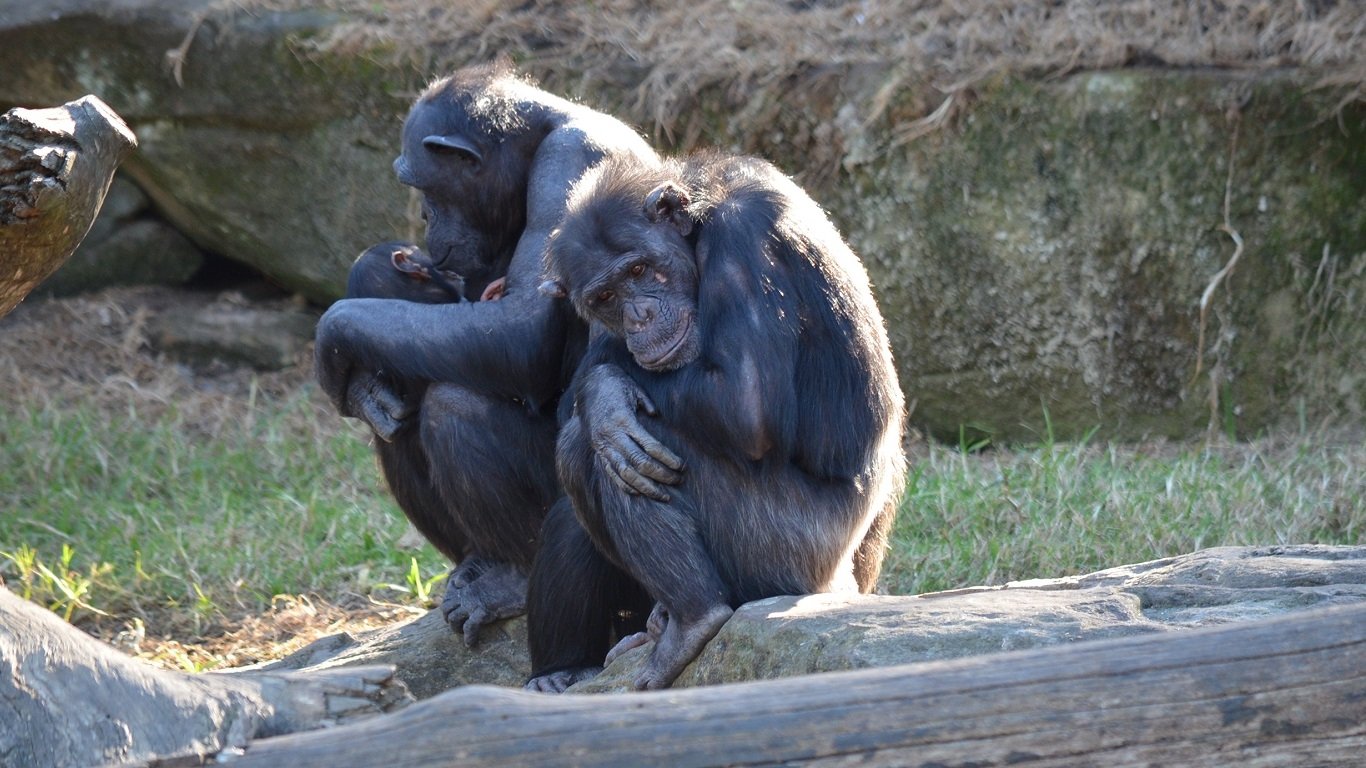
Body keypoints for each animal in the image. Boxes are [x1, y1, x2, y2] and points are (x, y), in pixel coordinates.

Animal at [315, 62, 666, 642]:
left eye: (420, 184)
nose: (424, 218)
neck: (533, 144)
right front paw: (363, 384)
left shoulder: (568, 162)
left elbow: (523, 329)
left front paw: (334, 330)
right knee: (400, 415)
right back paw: (473, 565)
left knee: (455, 403)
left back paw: (509, 580)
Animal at [530, 149, 907, 688]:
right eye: (605, 298)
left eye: (639, 269)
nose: (639, 316)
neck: (700, 224)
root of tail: (841, 586)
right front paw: (599, 390)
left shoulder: (741, 245)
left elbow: (745, 404)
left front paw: (603, 393)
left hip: (787, 550)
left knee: (602, 445)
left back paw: (693, 619)